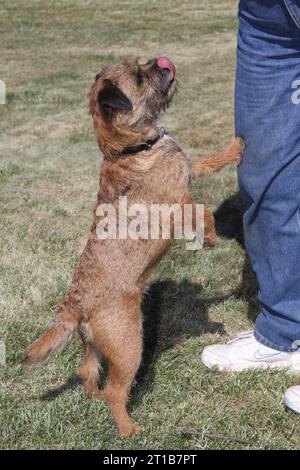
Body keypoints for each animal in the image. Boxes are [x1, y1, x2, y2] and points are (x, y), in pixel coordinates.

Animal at [22, 56, 244, 436]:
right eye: (140, 77)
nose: (162, 63)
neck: (127, 148)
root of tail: (75, 304)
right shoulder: (178, 203)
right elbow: (202, 212)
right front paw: (212, 238)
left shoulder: (188, 168)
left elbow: (208, 160)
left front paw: (237, 147)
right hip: (129, 347)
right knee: (116, 390)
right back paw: (129, 429)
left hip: (94, 346)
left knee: (88, 371)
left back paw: (94, 398)